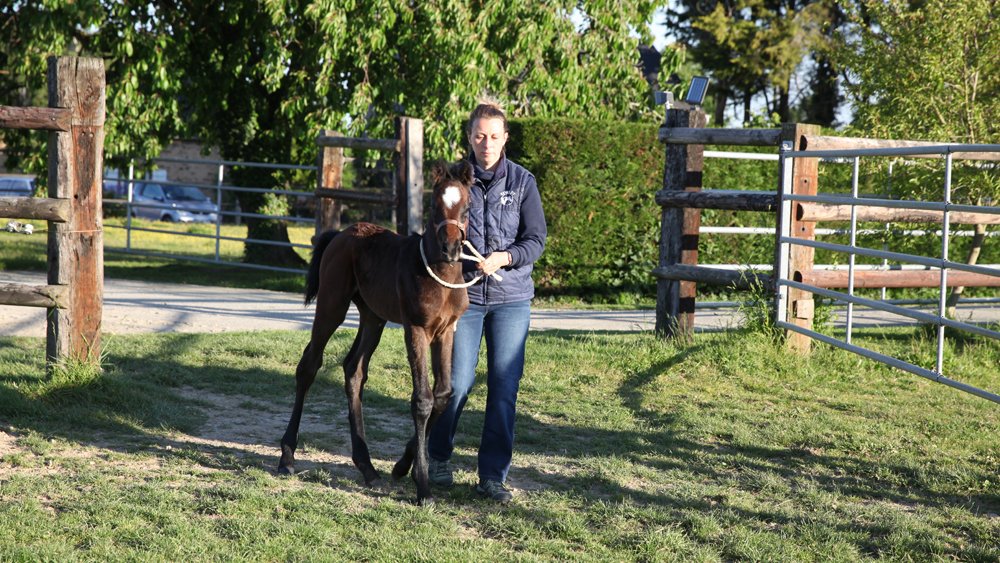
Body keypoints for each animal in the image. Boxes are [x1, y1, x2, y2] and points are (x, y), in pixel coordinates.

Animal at [279, 160, 474, 505]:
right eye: (434, 206)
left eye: (466, 208)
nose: (450, 248)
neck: (438, 273)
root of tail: (341, 234)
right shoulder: (416, 329)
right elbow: (422, 399)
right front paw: (423, 488)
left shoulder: (446, 331)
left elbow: (443, 395)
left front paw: (404, 467)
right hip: (332, 304)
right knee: (309, 365)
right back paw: (287, 456)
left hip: (373, 317)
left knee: (353, 370)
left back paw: (367, 467)